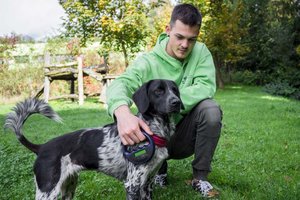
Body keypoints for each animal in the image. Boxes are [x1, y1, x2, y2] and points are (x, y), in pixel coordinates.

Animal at [4, 79, 183, 200]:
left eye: (175, 90)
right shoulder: (132, 184)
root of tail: (41, 148)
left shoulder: (147, 182)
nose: (176, 102)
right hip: (48, 191)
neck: (152, 130)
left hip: (69, 186)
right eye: (158, 91)